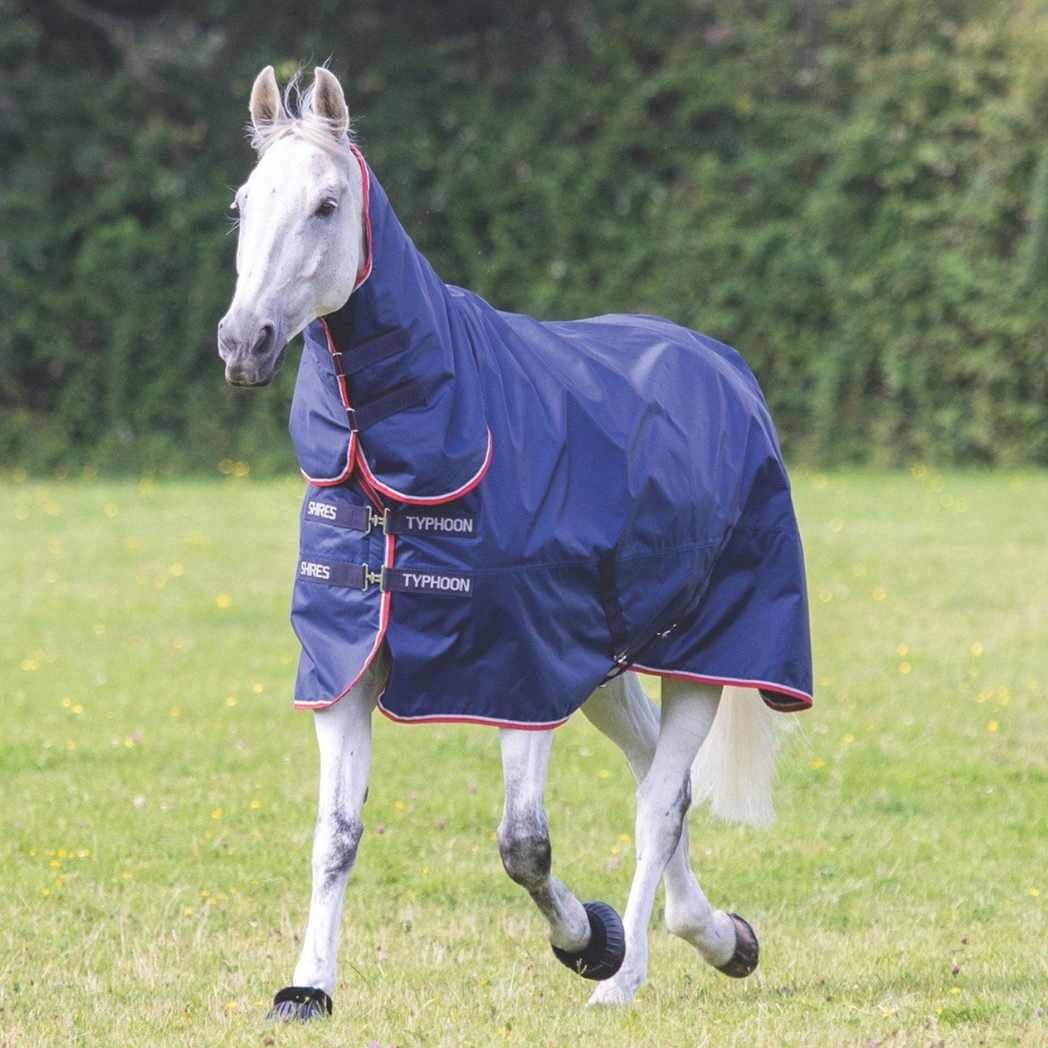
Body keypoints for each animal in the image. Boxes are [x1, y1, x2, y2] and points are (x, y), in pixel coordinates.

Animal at [217, 65, 812, 1017]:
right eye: (243, 205)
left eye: (326, 204)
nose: (244, 344)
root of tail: (723, 367)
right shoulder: (347, 666)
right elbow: (336, 834)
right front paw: (307, 988)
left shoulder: (518, 674)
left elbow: (523, 844)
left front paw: (590, 943)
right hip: (606, 665)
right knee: (660, 776)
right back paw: (720, 938)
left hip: (706, 657)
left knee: (660, 801)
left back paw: (627, 976)